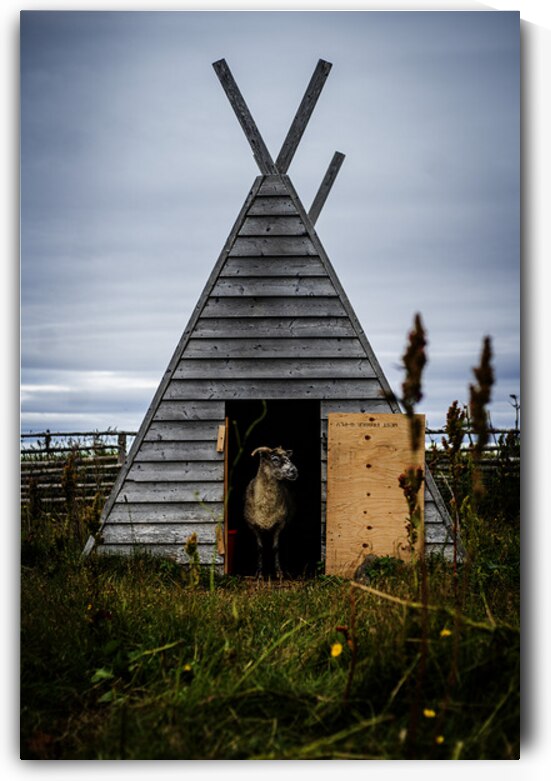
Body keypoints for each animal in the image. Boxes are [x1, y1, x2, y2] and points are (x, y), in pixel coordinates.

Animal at [244, 446, 298, 578]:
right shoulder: (253, 526)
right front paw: (259, 573)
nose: (294, 471)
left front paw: (279, 572)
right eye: (275, 459)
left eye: (288, 457)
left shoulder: (280, 524)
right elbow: (260, 548)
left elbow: (276, 548)